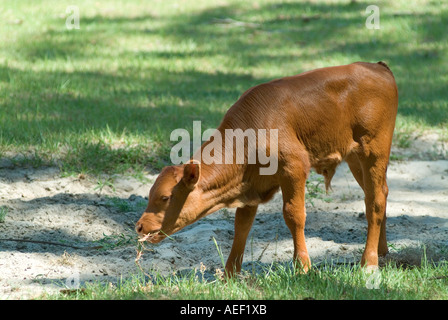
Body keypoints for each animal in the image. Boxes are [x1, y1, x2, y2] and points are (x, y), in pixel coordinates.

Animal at [136, 62, 400, 276]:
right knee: (379, 194)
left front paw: (302, 267)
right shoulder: (250, 186)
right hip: (355, 158)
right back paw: (382, 250)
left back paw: (369, 261)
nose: (139, 225)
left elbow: (294, 215)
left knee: (375, 200)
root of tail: (377, 67)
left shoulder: (294, 168)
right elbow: (241, 226)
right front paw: (230, 274)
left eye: (165, 197)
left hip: (374, 150)